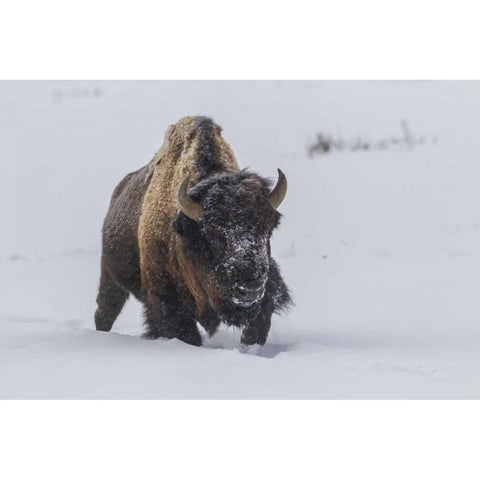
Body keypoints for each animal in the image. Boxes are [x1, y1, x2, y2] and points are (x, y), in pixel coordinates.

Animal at [93, 115, 288, 344]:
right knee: (105, 311)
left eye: (267, 229)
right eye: (213, 235)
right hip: (109, 277)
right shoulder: (167, 303)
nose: (250, 289)